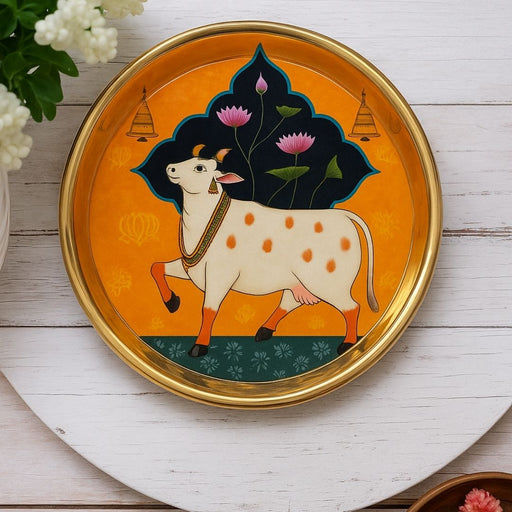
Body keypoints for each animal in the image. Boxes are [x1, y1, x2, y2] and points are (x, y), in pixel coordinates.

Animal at [150, 144, 379, 358]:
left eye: (200, 167)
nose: (170, 167)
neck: (202, 223)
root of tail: (344, 215)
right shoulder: (191, 267)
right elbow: (156, 267)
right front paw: (172, 302)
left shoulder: (219, 275)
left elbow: (208, 310)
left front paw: (199, 346)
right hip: (299, 282)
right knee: (289, 302)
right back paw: (264, 330)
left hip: (330, 282)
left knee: (352, 307)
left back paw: (348, 344)